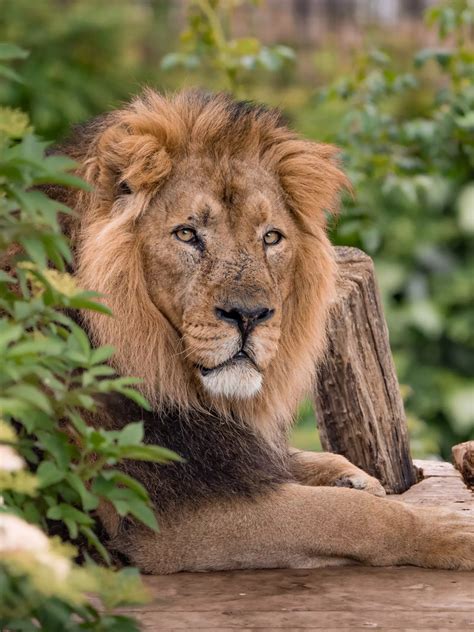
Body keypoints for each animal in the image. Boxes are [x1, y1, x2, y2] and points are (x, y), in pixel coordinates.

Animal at [49, 90, 474, 572]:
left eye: (271, 238)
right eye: (186, 234)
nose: (249, 316)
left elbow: (297, 462)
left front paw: (352, 476)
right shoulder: (163, 516)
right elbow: (349, 515)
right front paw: (448, 531)